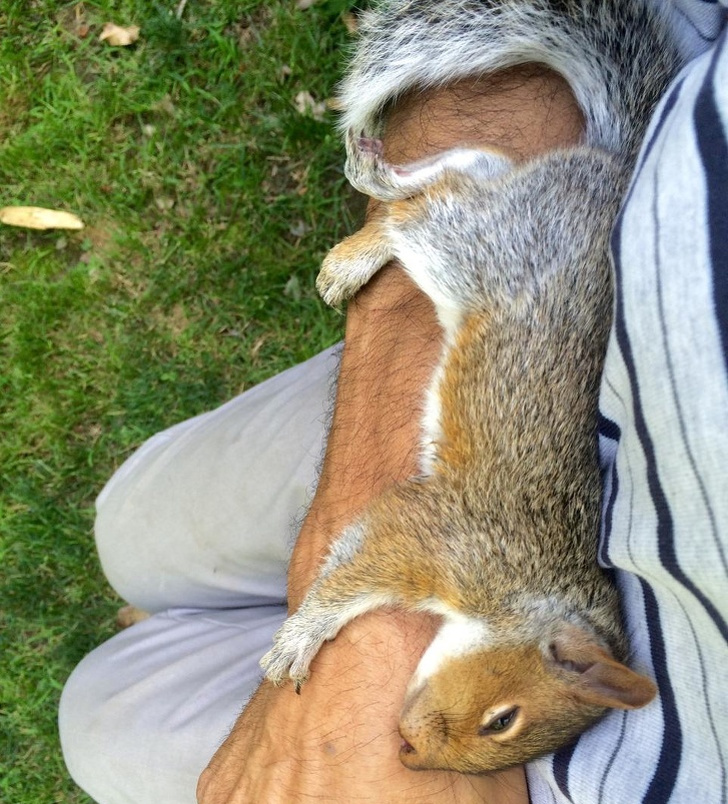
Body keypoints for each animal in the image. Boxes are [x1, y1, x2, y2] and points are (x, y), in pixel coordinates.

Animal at [261, 0, 683, 774]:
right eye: (503, 719)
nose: (410, 752)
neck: (538, 592)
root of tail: (613, 169)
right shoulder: (439, 539)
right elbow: (350, 575)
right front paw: (299, 638)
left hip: (500, 214)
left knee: (475, 169)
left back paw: (377, 192)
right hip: (482, 251)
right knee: (433, 205)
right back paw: (371, 198)